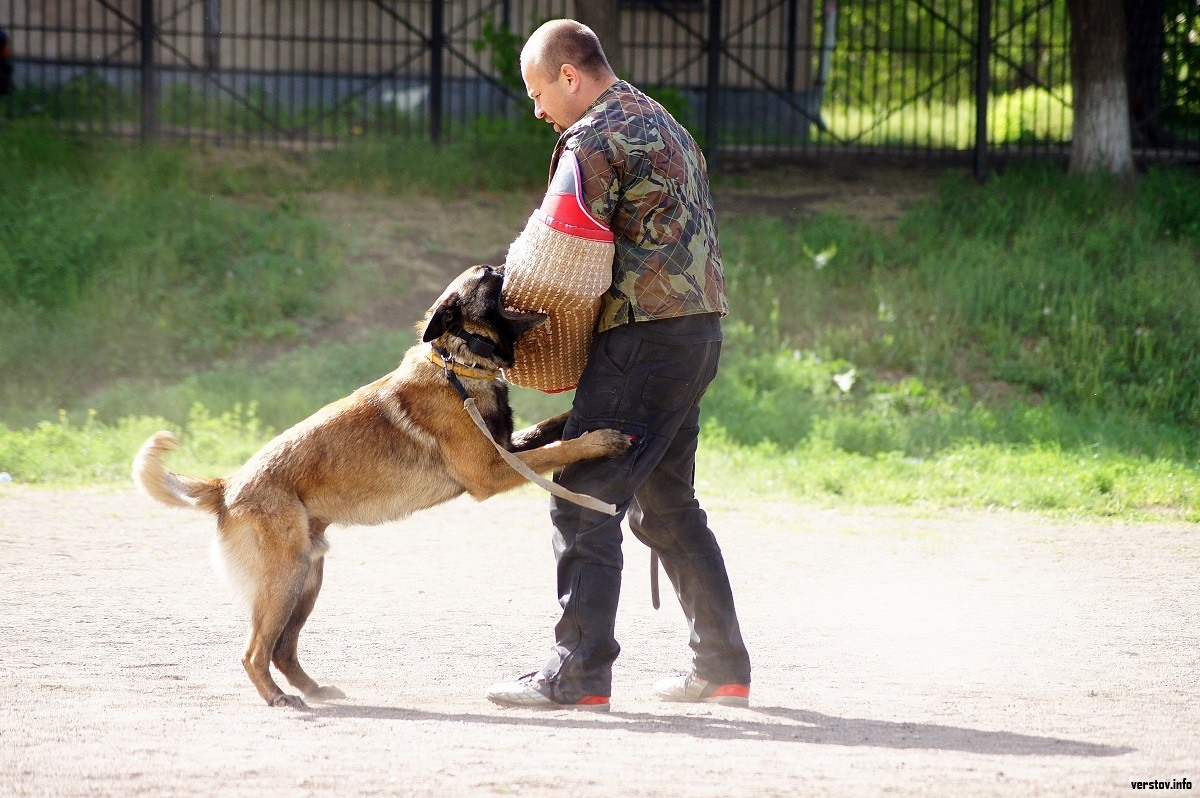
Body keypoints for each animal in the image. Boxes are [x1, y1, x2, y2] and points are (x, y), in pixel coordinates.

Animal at [132, 264, 633, 705]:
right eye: (489, 276)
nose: (510, 261)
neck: (458, 364)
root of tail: (227, 485)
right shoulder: (491, 472)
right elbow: (557, 451)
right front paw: (599, 440)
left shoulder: (505, 449)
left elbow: (550, 430)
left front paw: (575, 416)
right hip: (283, 581)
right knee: (255, 652)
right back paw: (278, 698)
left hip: (306, 580)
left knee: (282, 649)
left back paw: (314, 690)